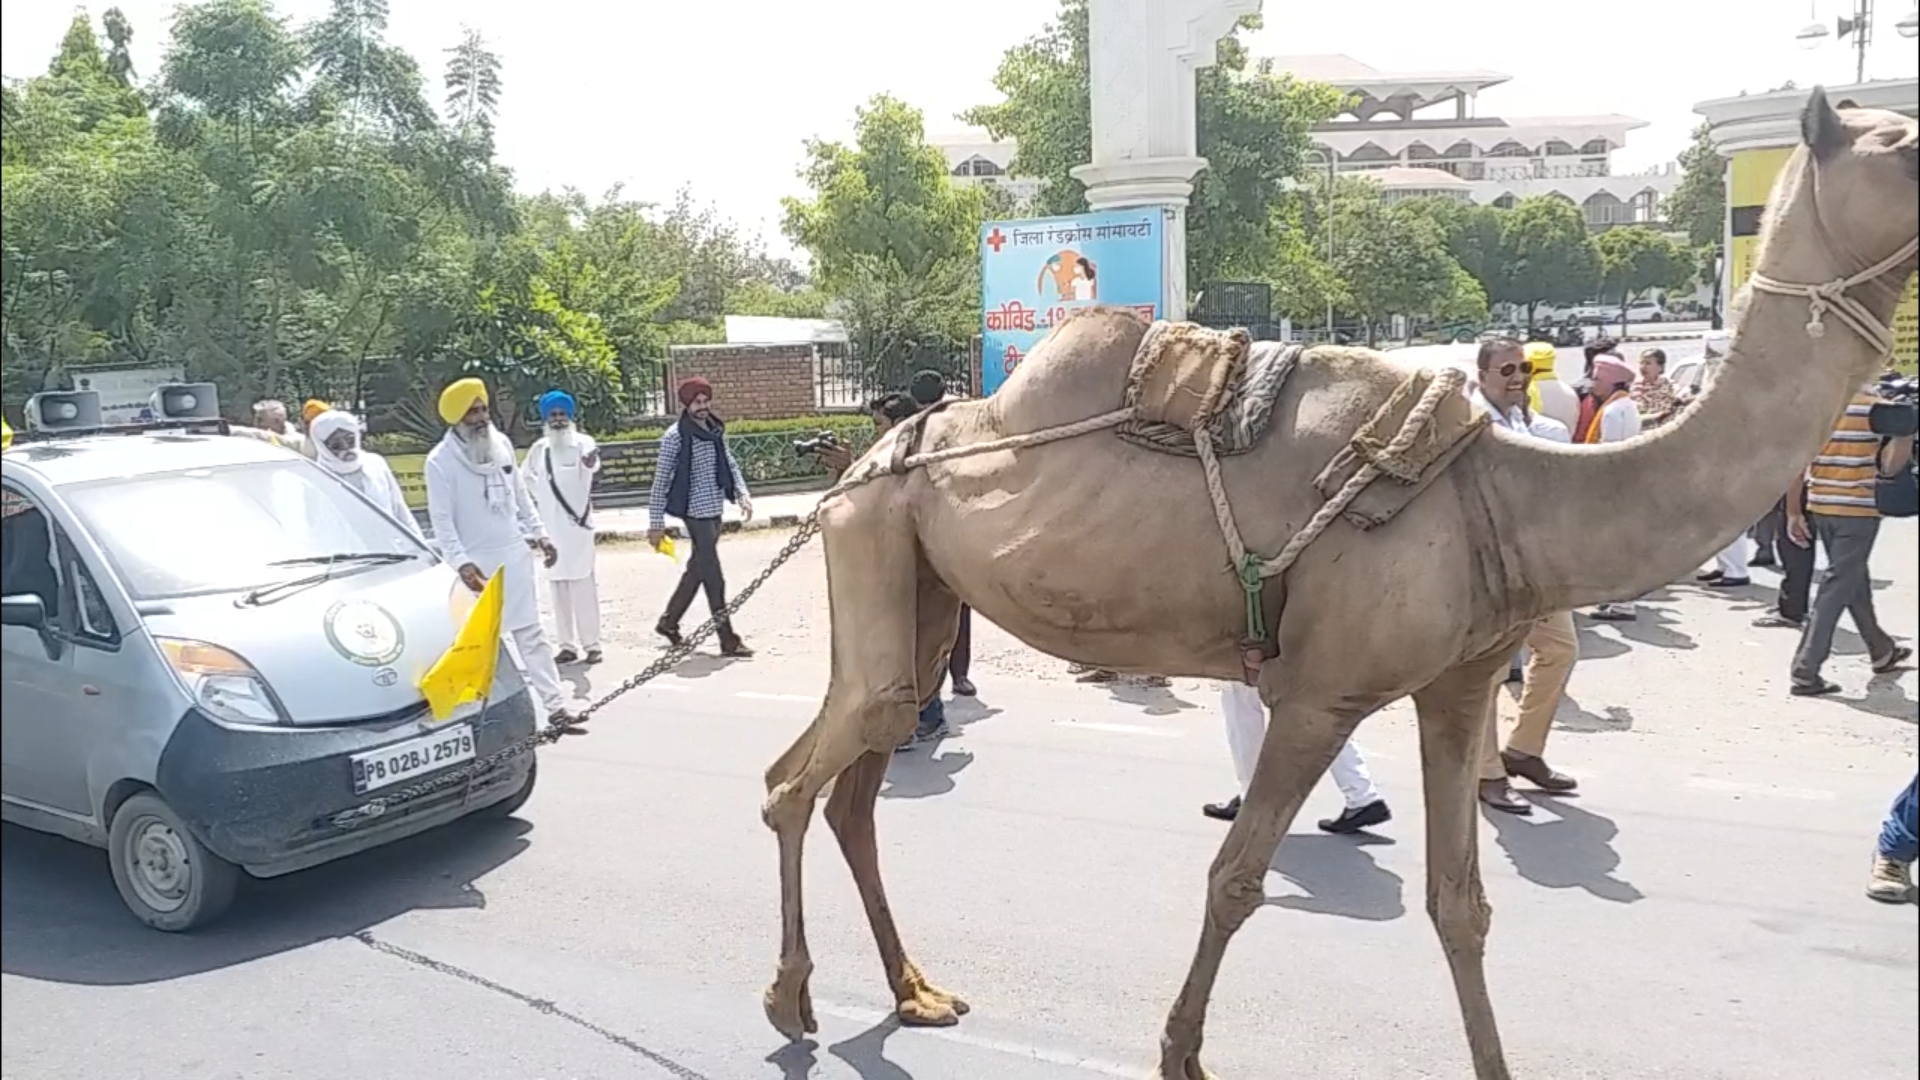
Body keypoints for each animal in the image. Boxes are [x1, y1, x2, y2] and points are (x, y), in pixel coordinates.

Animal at [756, 92, 1912, 1076]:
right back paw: (791, 1000)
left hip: (916, 582)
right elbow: (1236, 878)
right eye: (1901, 146)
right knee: (797, 778)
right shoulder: (1319, 692)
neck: (1511, 498)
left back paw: (913, 992)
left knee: (861, 772)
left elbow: (1461, 904)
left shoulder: (1457, 683)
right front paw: (1181, 1055)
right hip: (872, 540)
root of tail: (869, 456)